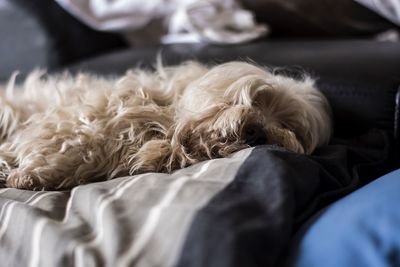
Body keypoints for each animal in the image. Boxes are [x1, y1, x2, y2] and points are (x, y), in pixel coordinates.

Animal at [0, 61, 332, 191]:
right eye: (259, 99)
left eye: (289, 126)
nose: (258, 131)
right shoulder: (86, 117)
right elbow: (80, 140)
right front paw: (31, 174)